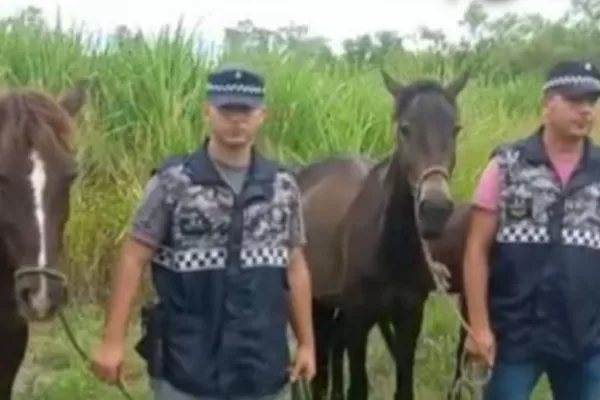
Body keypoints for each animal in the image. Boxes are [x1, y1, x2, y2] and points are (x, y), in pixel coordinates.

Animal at [298, 69, 472, 400]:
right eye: (405, 129)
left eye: (456, 129)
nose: (435, 209)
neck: (389, 246)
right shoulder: (357, 319)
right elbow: (358, 388)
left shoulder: (409, 316)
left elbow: (404, 387)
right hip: (316, 301)